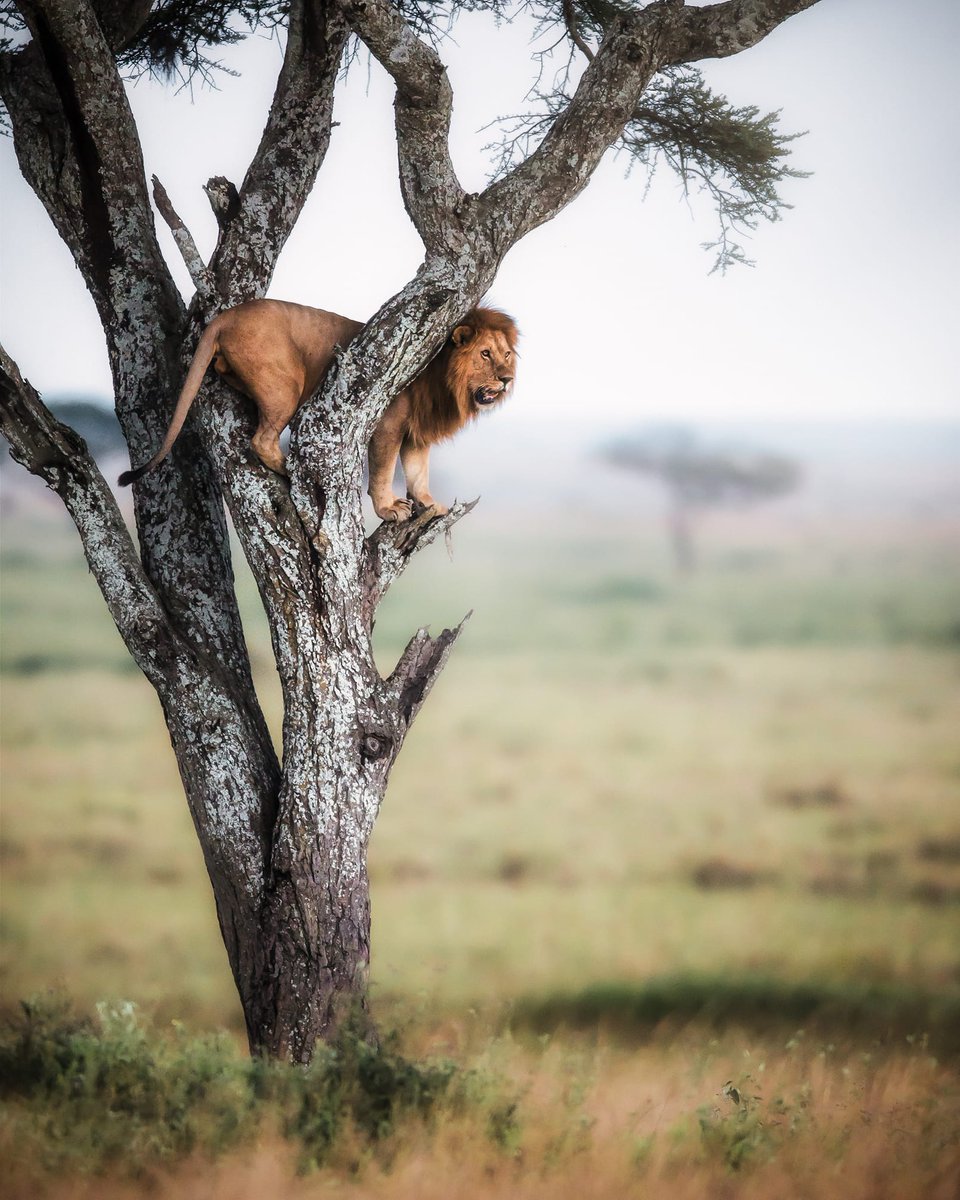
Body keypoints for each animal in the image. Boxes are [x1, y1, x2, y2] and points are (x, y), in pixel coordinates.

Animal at [118, 299, 518, 521]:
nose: (507, 379)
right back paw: (290, 469)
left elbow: (419, 473)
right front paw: (389, 510)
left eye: (506, 354)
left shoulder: (415, 435)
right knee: (261, 440)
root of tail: (227, 315)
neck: (443, 381)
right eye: (485, 354)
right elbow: (384, 473)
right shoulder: (386, 425)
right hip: (284, 384)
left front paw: (430, 505)